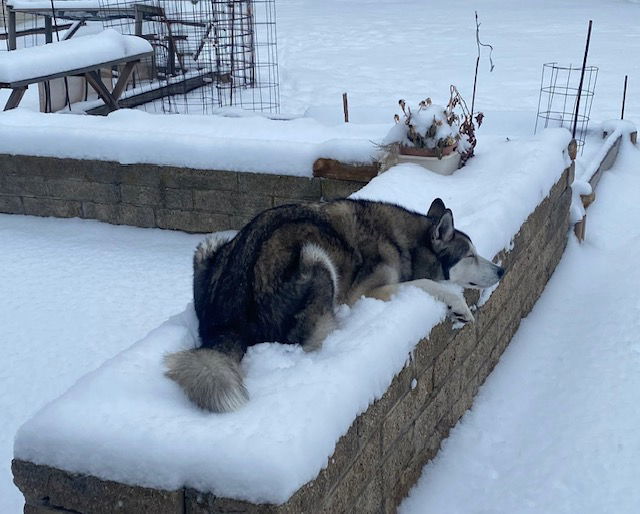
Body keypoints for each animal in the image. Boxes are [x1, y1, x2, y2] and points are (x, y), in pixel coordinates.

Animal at [165, 198, 504, 410]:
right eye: (470, 255)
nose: (501, 270)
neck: (406, 243)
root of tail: (225, 324)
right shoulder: (365, 292)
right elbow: (429, 284)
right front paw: (458, 306)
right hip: (316, 259)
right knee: (314, 340)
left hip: (210, 245)